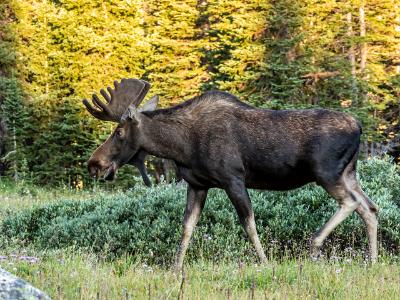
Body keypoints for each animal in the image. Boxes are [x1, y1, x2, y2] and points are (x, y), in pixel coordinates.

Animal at [83, 78, 378, 270]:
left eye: (119, 132)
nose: (94, 164)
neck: (181, 147)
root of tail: (359, 125)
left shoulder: (232, 178)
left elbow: (249, 224)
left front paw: (264, 262)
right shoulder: (197, 185)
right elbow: (187, 227)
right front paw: (175, 269)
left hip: (327, 173)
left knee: (352, 202)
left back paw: (315, 244)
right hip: (348, 173)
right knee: (370, 208)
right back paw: (372, 260)